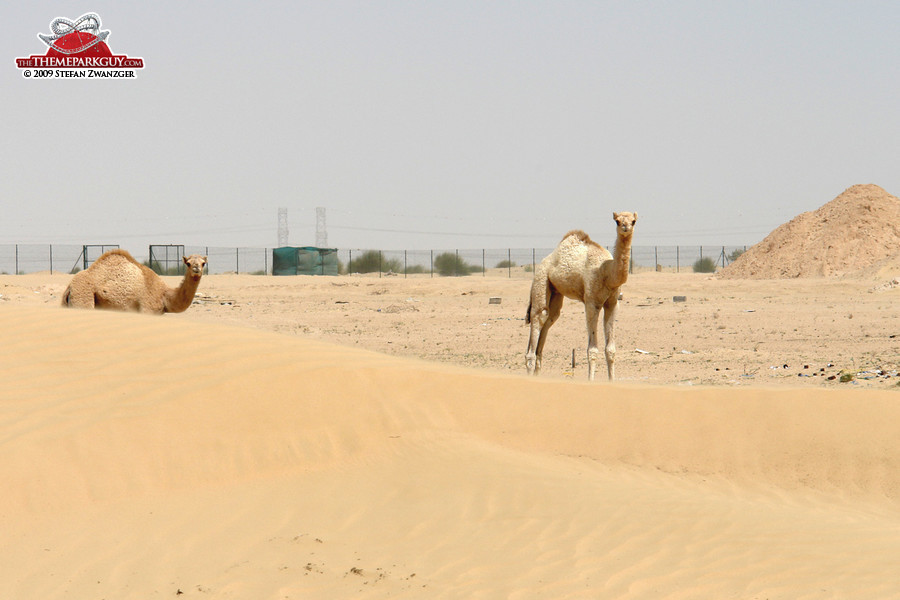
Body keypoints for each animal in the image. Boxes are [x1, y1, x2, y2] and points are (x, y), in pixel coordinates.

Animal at [61, 248, 207, 316]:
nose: (196, 268)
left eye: (203, 263)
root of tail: (69, 288)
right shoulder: (147, 310)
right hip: (83, 298)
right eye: (188, 263)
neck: (164, 294)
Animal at [524, 211, 636, 380]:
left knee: (550, 319)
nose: (625, 227)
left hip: (556, 292)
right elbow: (592, 350)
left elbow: (610, 350)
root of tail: (545, 261)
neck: (606, 272)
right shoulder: (591, 303)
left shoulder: (612, 303)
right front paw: (590, 381)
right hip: (541, 279)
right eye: (617, 221)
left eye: (633, 221)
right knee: (539, 316)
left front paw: (612, 381)